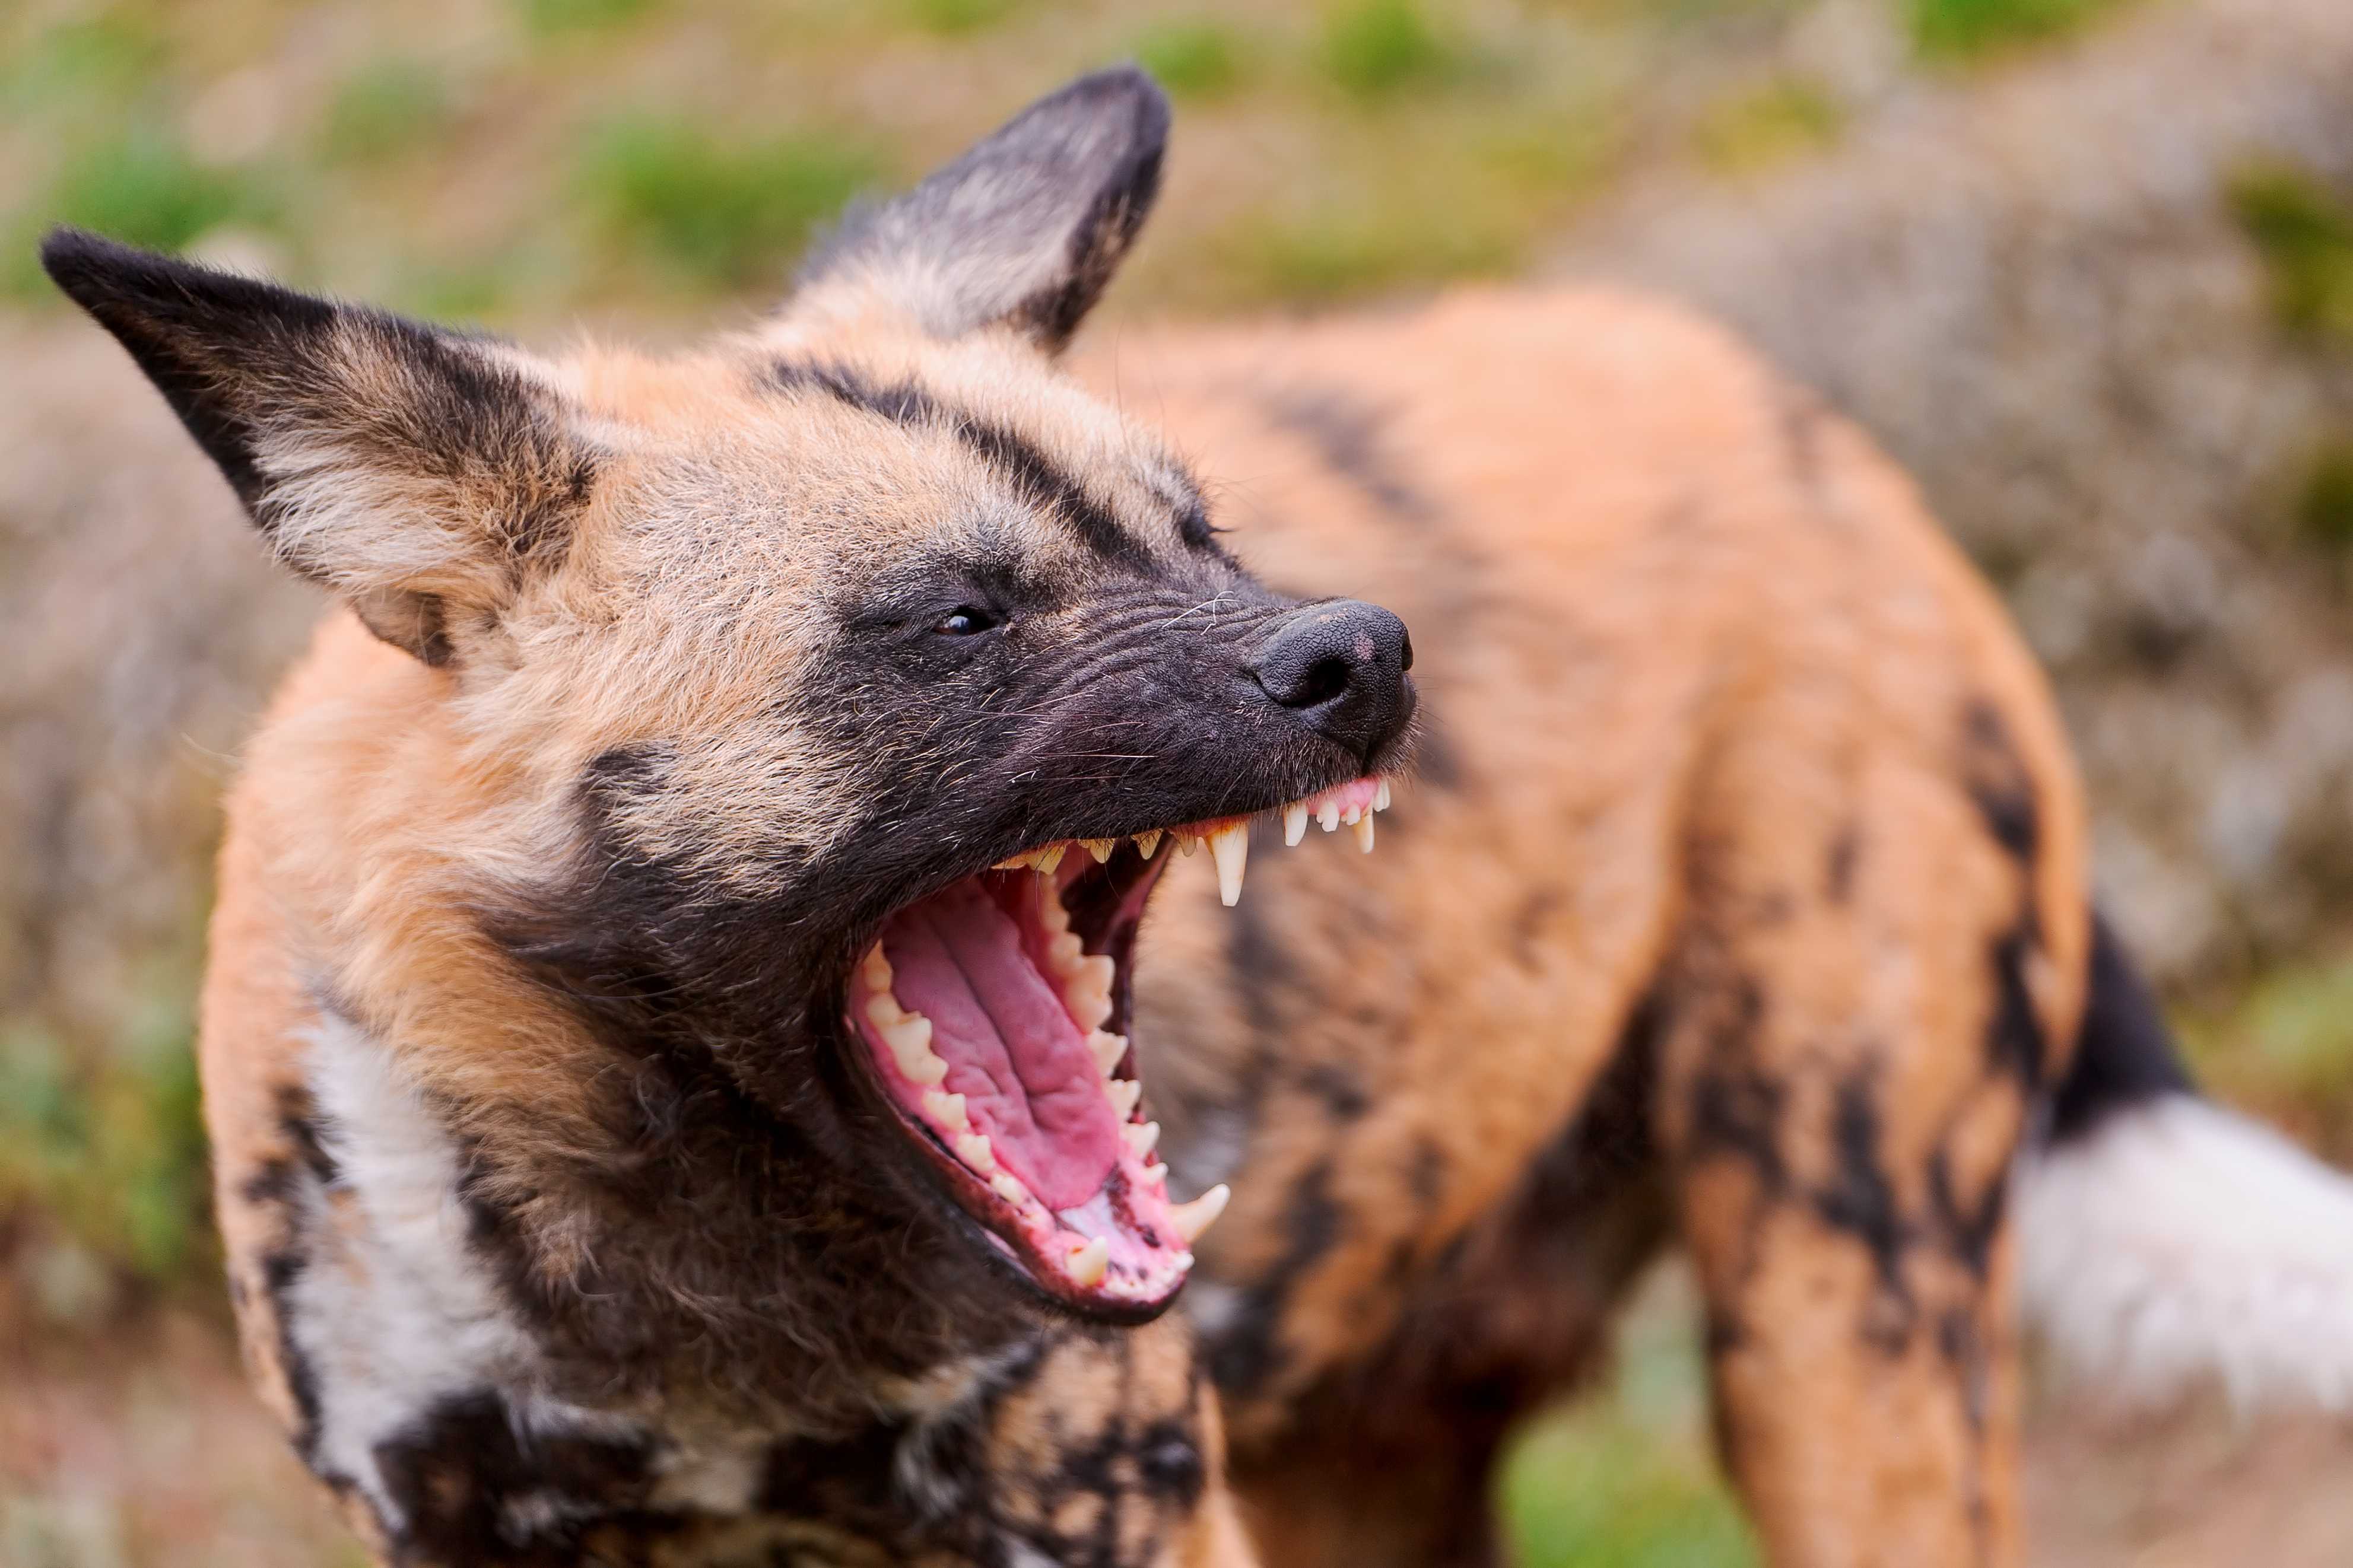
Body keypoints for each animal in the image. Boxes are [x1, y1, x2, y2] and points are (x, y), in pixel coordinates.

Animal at [41, 58, 2353, 1568]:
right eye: (956, 617)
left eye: (1197, 534)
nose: (1363, 650)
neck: (713, 1289)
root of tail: (1782, 405)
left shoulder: (1115, 1507)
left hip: (1838, 1316)